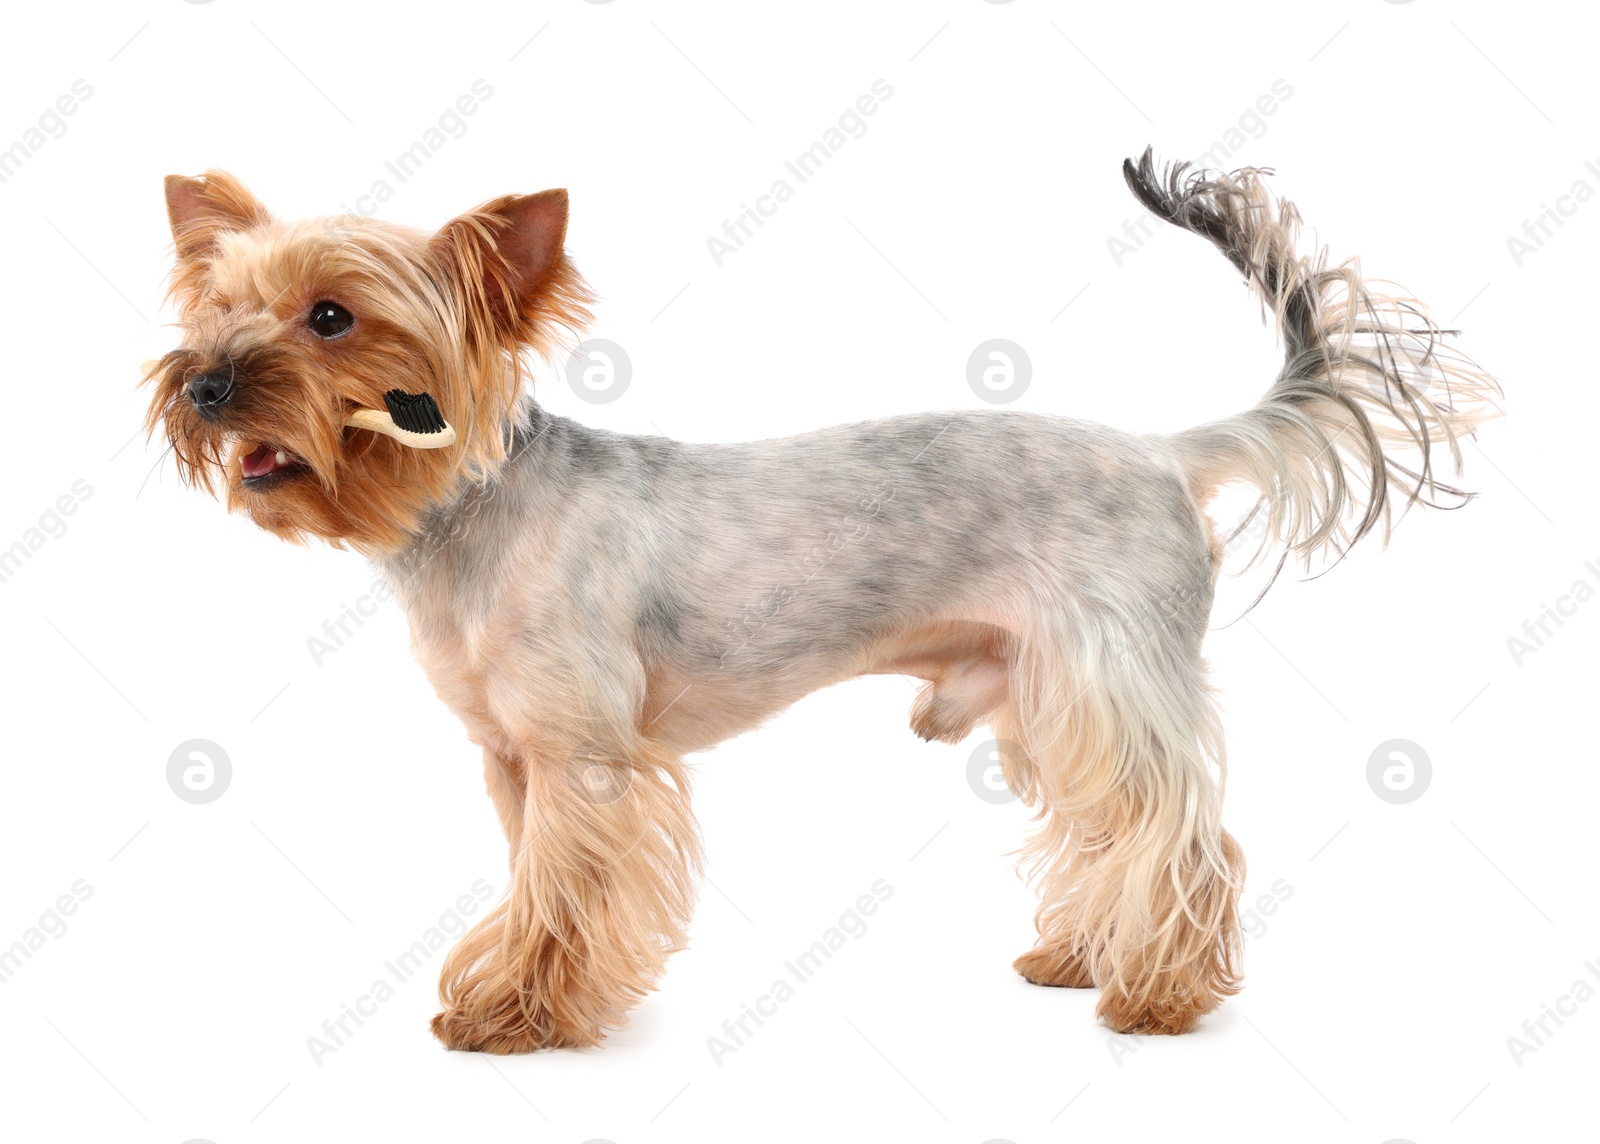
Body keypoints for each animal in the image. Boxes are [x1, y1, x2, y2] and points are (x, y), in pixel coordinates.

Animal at [144, 154, 1504, 1056]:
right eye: (217, 309)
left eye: (332, 317)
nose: (204, 381)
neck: (460, 508)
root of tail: (1167, 451)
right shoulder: (514, 760)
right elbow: (533, 883)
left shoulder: (583, 761)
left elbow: (560, 893)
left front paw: (519, 1014)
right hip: (1045, 696)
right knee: (1112, 830)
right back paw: (1079, 955)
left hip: (1105, 675)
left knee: (1185, 834)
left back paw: (1158, 994)